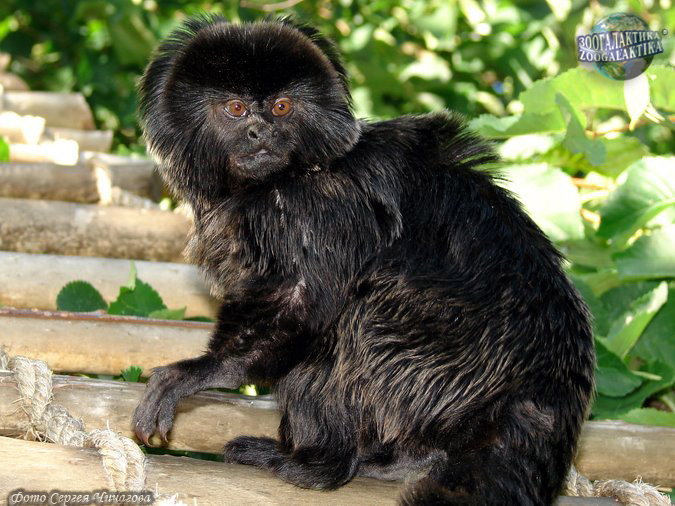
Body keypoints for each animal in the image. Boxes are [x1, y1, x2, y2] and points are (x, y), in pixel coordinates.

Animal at [132, 16, 595, 505]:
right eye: (237, 109)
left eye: (281, 107)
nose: (262, 132)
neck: (288, 176)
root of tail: (542, 385)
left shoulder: (321, 208)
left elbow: (303, 303)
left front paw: (203, 372)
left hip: (439, 371)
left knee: (357, 317)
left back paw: (313, 466)